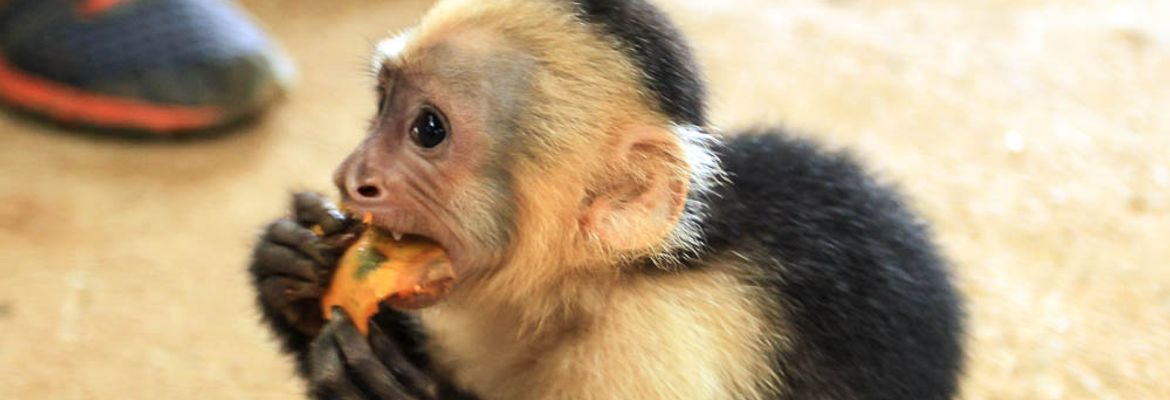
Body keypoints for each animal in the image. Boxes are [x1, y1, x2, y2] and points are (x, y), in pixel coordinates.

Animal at [249, 0, 964, 399]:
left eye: (428, 130)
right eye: (381, 105)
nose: (353, 176)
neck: (603, 279)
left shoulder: (654, 345)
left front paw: (374, 385)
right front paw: (289, 275)